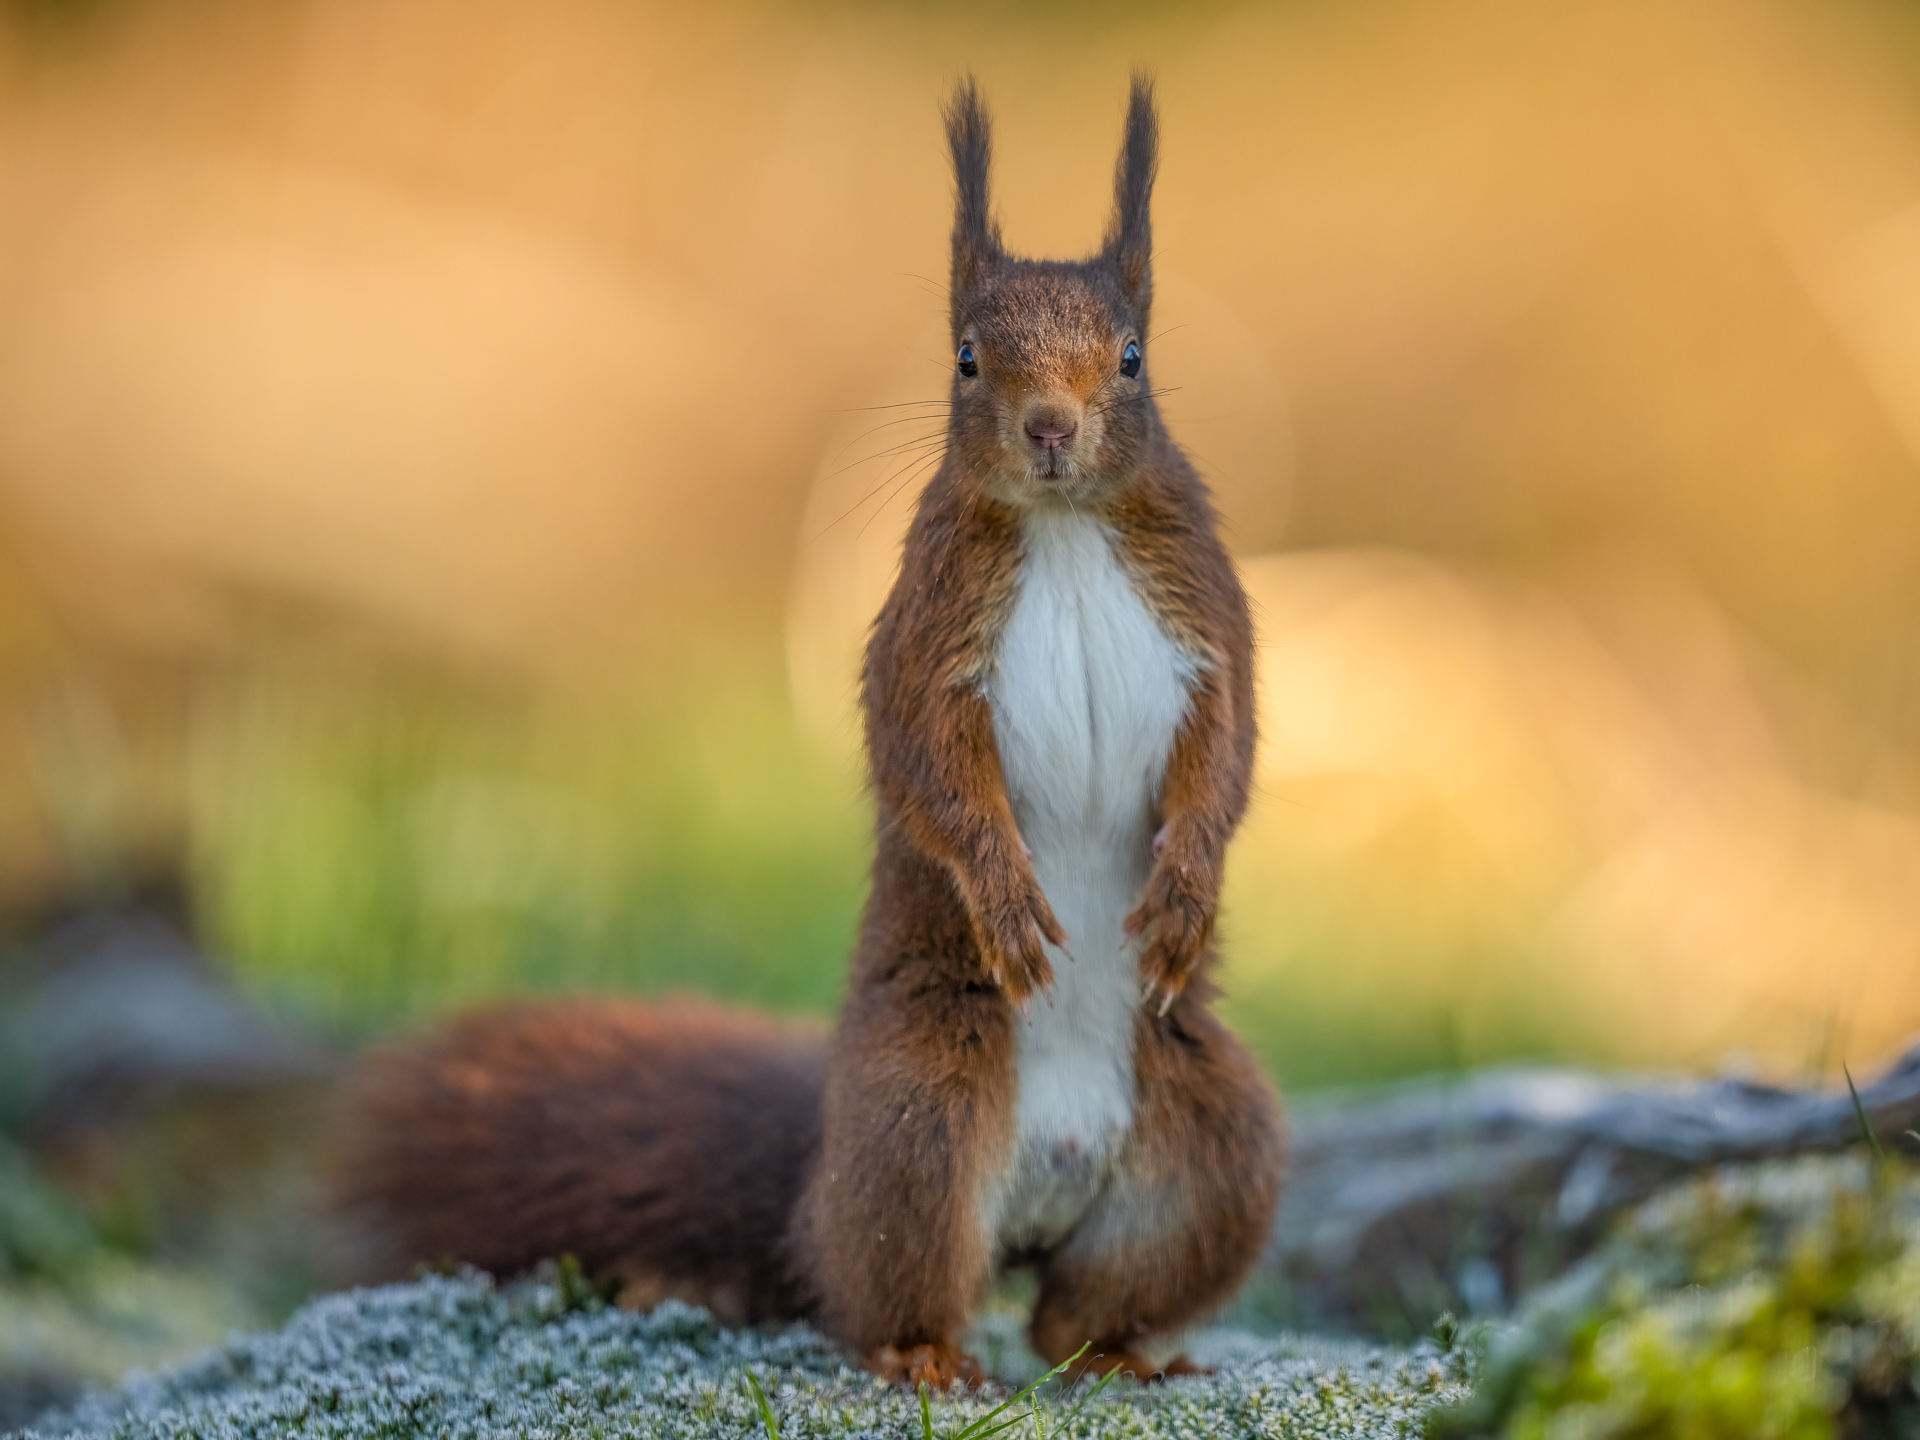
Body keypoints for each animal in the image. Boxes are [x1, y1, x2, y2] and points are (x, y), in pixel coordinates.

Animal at [322, 76, 1290, 1397]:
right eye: (967, 356)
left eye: (1134, 358)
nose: (1050, 430)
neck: (1068, 526)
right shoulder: (929, 641)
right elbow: (929, 767)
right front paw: (1006, 897)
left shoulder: (1208, 624)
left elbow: (1225, 757)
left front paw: (1189, 884)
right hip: (921, 1125)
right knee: (876, 1287)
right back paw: (926, 1354)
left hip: (1212, 1145)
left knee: (1071, 1309)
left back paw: (1124, 1357)